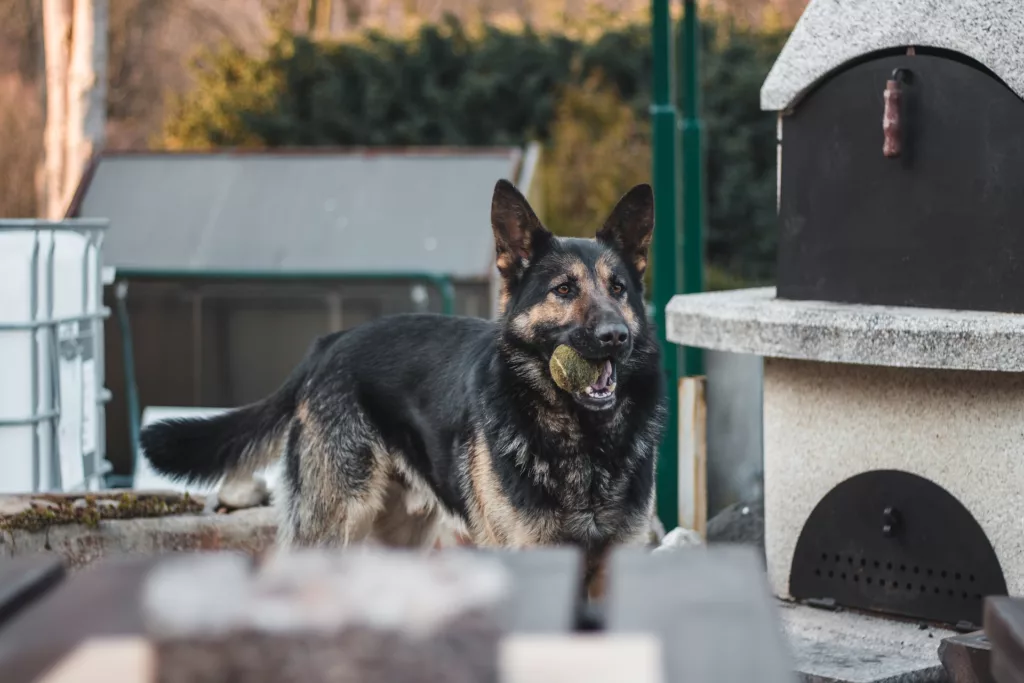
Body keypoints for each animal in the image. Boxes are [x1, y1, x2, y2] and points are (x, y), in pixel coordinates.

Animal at [142, 179, 663, 593]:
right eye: (564, 290)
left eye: (618, 289)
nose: (615, 336)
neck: (584, 442)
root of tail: (330, 343)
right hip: (332, 526)